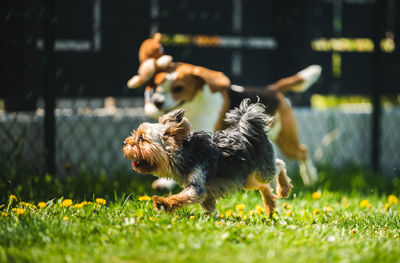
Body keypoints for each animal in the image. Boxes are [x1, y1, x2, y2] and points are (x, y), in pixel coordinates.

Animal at [123, 99, 292, 214]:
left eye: (142, 139)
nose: (125, 143)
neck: (183, 153)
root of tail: (250, 130)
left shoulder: (196, 187)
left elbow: (182, 197)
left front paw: (163, 203)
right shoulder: (205, 192)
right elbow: (208, 206)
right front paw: (212, 219)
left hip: (264, 169)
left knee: (279, 165)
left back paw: (283, 189)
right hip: (247, 178)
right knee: (263, 185)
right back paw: (270, 205)